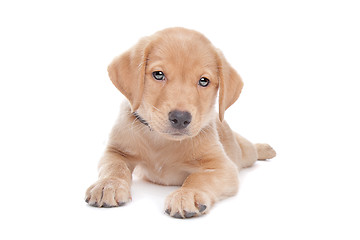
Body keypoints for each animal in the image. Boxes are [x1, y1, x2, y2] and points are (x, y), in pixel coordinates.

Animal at [84, 27, 276, 218]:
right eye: (158, 74)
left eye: (204, 81)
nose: (181, 118)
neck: (161, 142)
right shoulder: (115, 150)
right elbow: (115, 166)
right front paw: (108, 184)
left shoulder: (222, 166)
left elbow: (198, 177)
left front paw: (187, 194)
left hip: (244, 152)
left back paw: (265, 149)